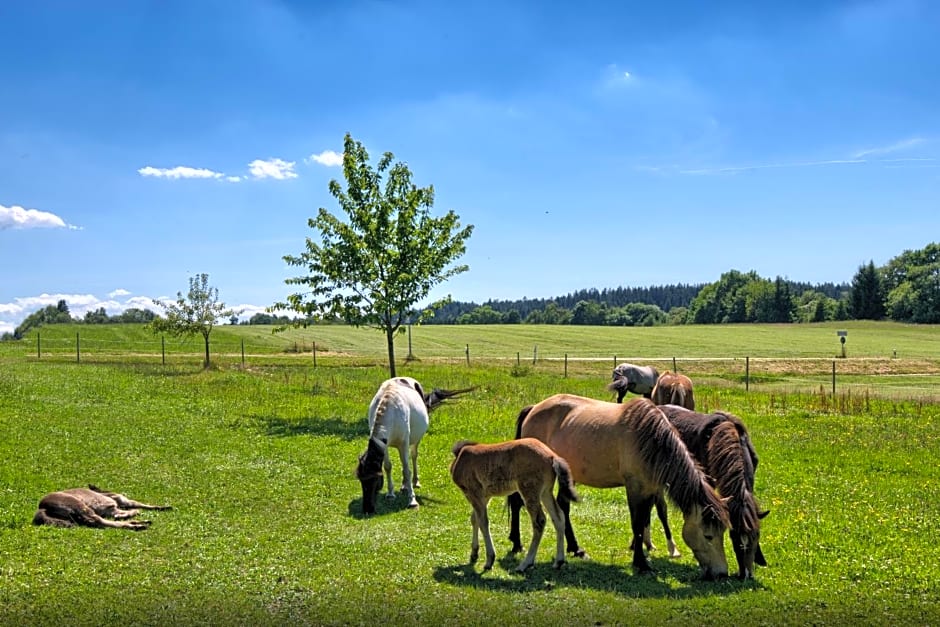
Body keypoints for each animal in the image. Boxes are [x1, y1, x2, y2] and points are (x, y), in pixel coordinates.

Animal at [32, 486, 171, 528]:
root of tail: (42, 507)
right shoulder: (118, 500)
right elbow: (137, 504)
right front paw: (165, 507)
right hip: (78, 506)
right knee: (98, 520)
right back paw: (138, 525)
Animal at [356, 378, 474, 516]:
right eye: (361, 480)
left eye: (374, 480)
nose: (367, 509)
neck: (391, 412)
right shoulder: (384, 446)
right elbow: (388, 467)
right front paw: (390, 494)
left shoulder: (404, 443)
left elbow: (407, 470)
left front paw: (412, 501)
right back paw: (404, 486)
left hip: (414, 440)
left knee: (413, 456)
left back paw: (415, 482)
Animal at [450, 440, 580, 572]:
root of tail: (552, 457)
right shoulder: (485, 496)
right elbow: (474, 519)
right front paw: (474, 554)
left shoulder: (473, 492)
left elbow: (483, 522)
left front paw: (489, 560)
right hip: (545, 492)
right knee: (559, 517)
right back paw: (558, 561)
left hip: (529, 490)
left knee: (539, 521)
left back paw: (525, 564)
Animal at [510, 394, 732, 580]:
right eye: (708, 535)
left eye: (723, 532)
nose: (722, 573)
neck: (650, 439)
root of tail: (533, 409)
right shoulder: (634, 487)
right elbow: (637, 524)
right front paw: (641, 563)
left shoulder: (650, 488)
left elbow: (646, 519)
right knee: (516, 503)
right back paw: (517, 544)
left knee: (563, 507)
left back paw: (576, 549)